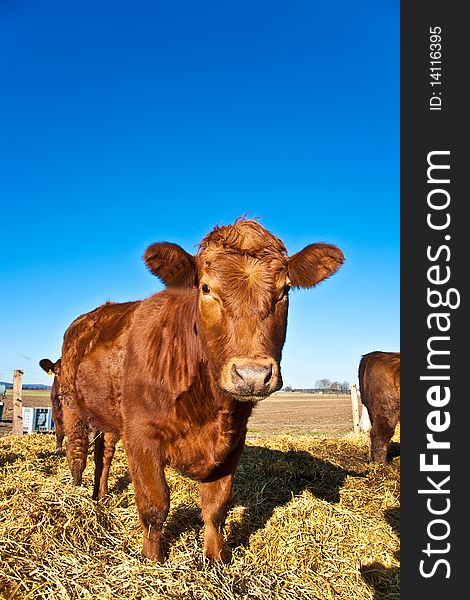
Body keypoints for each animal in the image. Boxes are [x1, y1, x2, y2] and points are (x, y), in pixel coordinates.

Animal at [60, 219, 344, 564]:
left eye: (284, 291)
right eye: (206, 289)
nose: (253, 375)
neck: (208, 407)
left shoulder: (233, 440)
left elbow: (216, 505)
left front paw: (215, 558)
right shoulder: (141, 435)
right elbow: (155, 505)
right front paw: (152, 560)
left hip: (110, 417)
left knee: (105, 454)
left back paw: (99, 497)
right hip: (71, 404)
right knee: (77, 452)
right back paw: (77, 493)